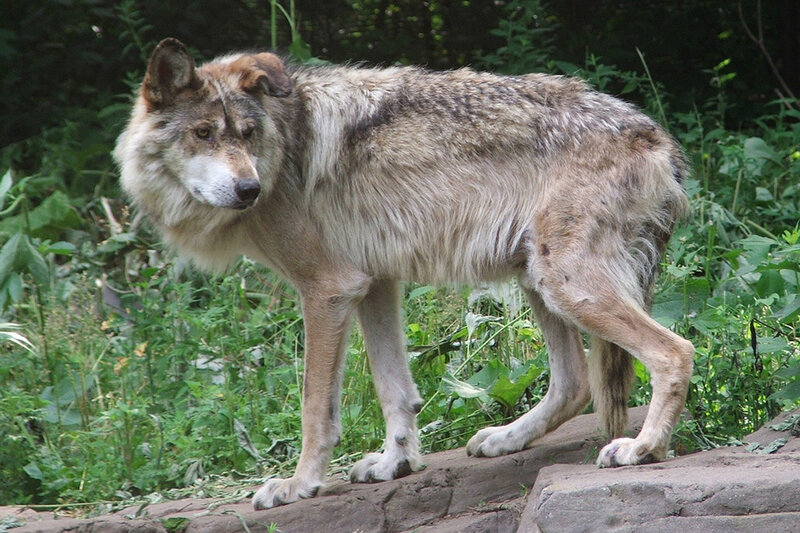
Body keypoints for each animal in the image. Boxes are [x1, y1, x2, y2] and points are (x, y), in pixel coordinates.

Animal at [114, 38, 694, 510]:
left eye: (247, 134)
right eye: (203, 134)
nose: (247, 189)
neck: (283, 147)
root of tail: (657, 137)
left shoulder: (326, 291)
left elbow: (314, 408)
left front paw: (298, 485)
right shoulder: (373, 284)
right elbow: (396, 391)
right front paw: (396, 464)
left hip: (566, 285)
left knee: (674, 352)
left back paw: (643, 448)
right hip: (537, 279)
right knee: (575, 383)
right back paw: (505, 439)